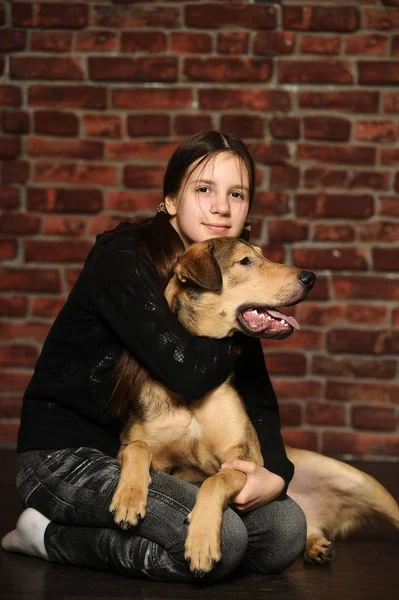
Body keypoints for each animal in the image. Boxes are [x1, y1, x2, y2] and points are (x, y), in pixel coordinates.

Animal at [109, 238, 399, 576]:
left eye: (263, 254)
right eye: (245, 261)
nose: (310, 278)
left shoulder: (245, 459)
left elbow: (215, 480)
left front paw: (202, 541)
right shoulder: (146, 452)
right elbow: (137, 447)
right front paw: (129, 498)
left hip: (359, 480)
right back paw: (316, 546)